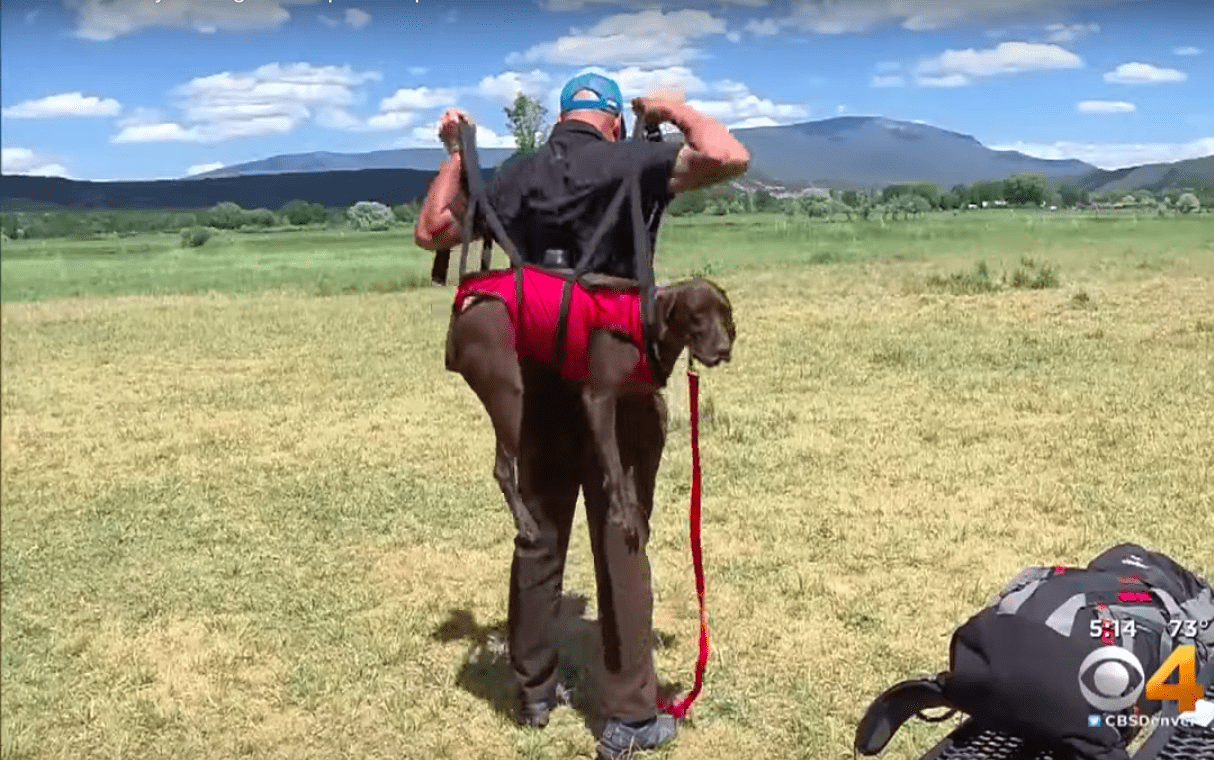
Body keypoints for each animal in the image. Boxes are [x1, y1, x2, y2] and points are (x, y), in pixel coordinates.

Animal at [444, 275, 733, 541]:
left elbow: (636, 465)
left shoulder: (640, 404)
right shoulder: (599, 398)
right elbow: (614, 466)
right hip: (509, 398)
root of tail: (463, 310)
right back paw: (526, 524)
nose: (724, 349)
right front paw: (621, 516)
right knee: (503, 469)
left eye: (724, 314)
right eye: (697, 315)